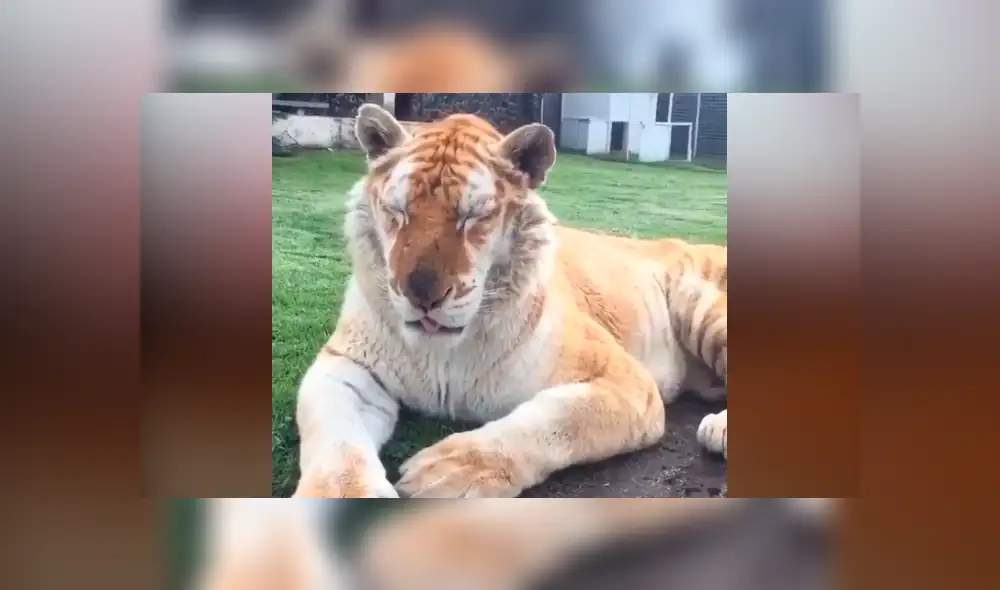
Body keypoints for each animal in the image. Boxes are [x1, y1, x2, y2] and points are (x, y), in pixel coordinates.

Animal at [291, 103, 728, 500]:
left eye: (473, 216)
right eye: (397, 211)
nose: (421, 295)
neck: (444, 351)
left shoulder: (623, 379)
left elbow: (556, 418)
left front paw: (451, 469)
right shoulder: (347, 367)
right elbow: (335, 437)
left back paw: (717, 430)